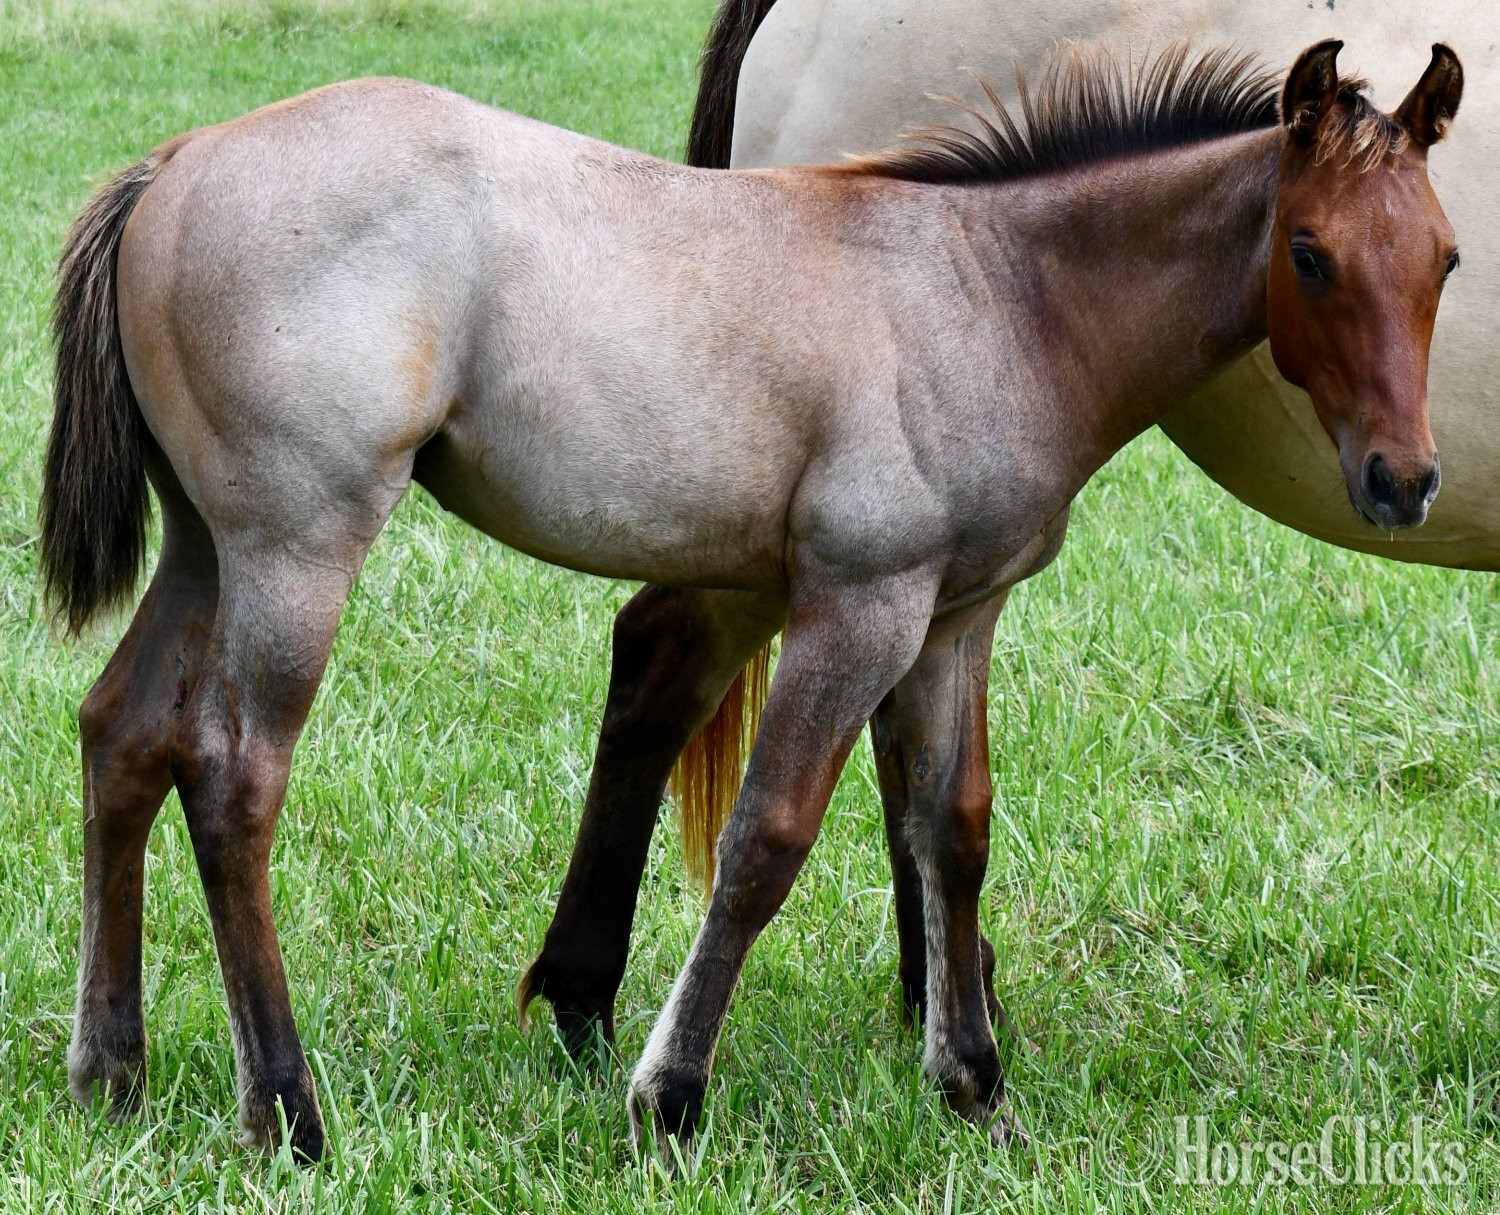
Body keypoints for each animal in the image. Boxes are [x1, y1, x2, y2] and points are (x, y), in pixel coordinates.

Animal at [44, 42, 1460, 1160]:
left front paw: (973, 1084)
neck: (1000, 296)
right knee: (231, 777)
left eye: (1445, 259)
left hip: (207, 546)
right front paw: (668, 1098)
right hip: (298, 545)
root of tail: (173, 162)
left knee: (123, 733)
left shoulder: (957, 616)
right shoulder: (859, 604)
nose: (1402, 479)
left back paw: (111, 1073)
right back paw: (286, 1112)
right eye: (1312, 255)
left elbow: (951, 830)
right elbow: (768, 840)